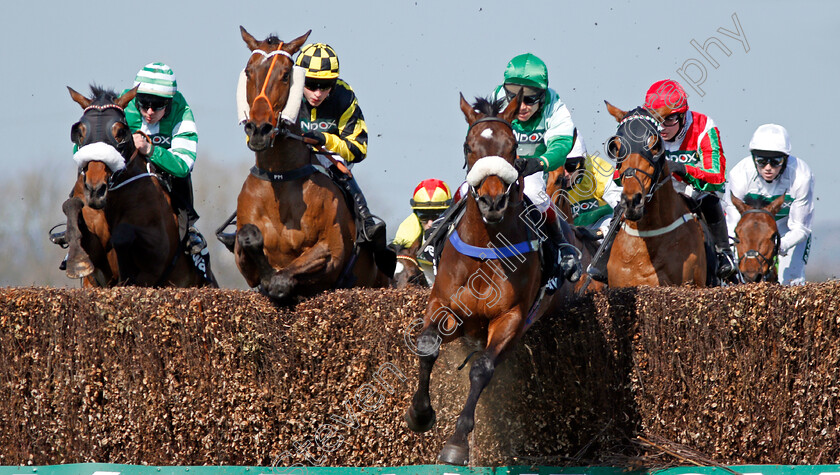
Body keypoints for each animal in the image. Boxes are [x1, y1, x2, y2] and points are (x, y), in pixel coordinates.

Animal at [62, 84, 217, 286]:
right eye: (79, 132)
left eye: (121, 132)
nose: (95, 190)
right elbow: (71, 207)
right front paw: (77, 261)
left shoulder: (157, 255)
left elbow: (124, 234)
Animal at [231, 27, 386, 302]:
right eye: (249, 71)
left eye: (285, 75)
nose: (259, 130)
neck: (281, 178)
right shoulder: (244, 258)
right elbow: (248, 238)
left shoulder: (331, 251)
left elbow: (288, 274)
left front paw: (277, 283)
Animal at [406, 95, 552, 466]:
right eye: (468, 147)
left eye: (513, 147)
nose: (492, 201)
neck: (486, 246)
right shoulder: (445, 306)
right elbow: (427, 345)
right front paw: (420, 414)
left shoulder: (510, 317)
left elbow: (483, 368)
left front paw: (457, 442)